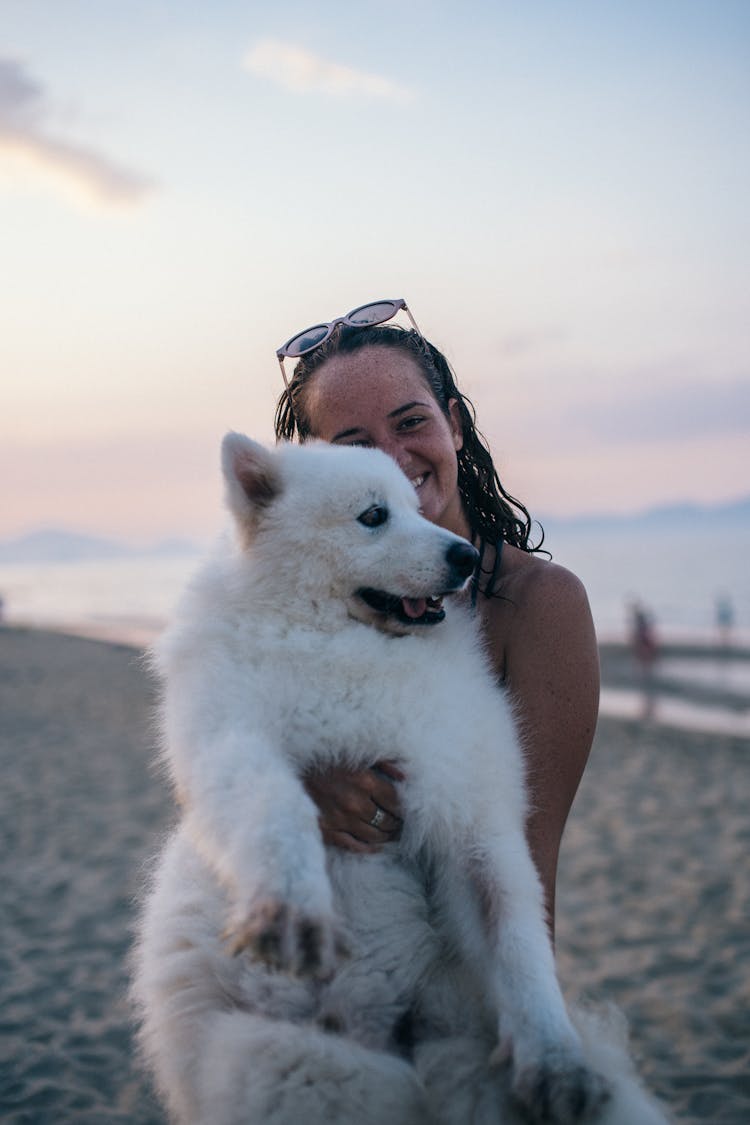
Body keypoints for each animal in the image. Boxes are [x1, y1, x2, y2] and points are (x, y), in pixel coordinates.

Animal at [130, 434, 670, 1120]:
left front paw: (555, 1061)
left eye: (416, 507)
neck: (344, 646)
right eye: (373, 516)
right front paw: (291, 905)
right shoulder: (229, 740)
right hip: (279, 1059)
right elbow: (276, 806)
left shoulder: (472, 814)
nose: (466, 555)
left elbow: (515, 937)